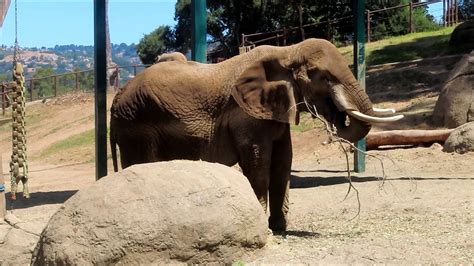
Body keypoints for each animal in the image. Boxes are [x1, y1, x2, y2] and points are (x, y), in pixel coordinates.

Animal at [109, 38, 402, 232]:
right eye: (323, 77)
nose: (334, 123)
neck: (287, 51)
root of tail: (117, 99)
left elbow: (283, 163)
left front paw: (281, 228)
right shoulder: (246, 116)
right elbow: (259, 165)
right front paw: (265, 229)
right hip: (136, 128)